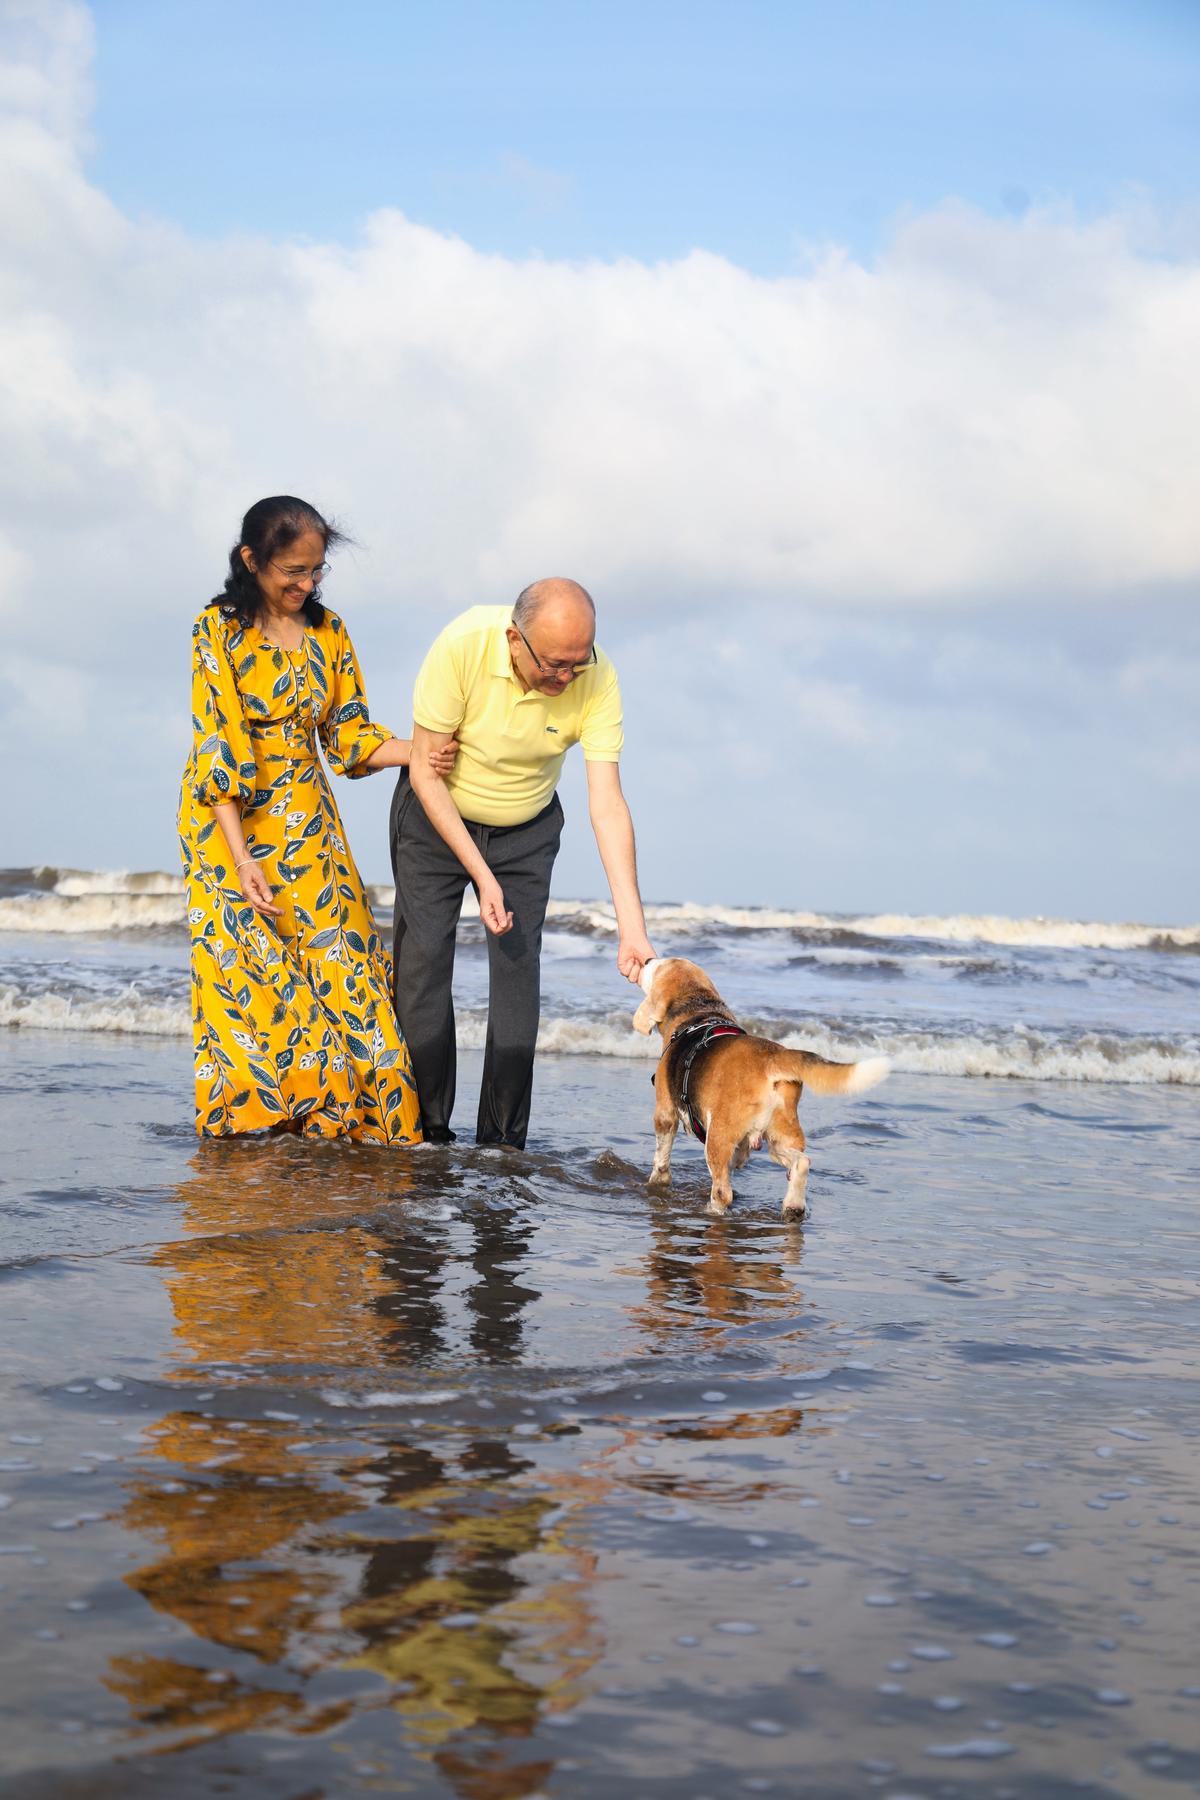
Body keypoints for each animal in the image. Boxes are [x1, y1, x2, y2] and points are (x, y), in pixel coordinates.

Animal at [633, 957, 888, 1224]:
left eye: (658, 966)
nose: (647, 959)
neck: (698, 1009)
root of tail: (773, 1057)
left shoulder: (665, 1113)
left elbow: (662, 1156)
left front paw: (658, 1182)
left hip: (718, 1137)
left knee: (722, 1190)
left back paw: (712, 1211)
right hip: (781, 1134)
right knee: (802, 1162)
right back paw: (793, 1205)